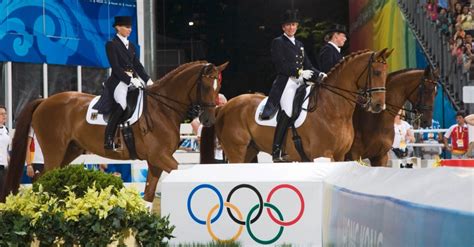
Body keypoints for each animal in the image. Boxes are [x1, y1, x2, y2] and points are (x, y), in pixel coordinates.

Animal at [1, 60, 228, 203]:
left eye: (218, 87)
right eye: (205, 86)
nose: (208, 119)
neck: (162, 108)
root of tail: (44, 101)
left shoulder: (155, 162)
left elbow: (148, 195)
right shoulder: (160, 157)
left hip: (70, 150)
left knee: (42, 180)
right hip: (54, 150)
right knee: (42, 179)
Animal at [202, 49, 394, 163]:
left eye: (385, 74)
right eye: (377, 72)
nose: (378, 105)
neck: (332, 109)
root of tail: (224, 107)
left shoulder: (340, 156)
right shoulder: (322, 155)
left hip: (249, 151)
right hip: (236, 150)